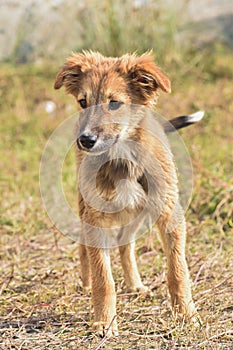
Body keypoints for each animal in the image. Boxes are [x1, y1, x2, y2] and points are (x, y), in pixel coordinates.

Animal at [54, 51, 200, 336]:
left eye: (114, 103)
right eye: (82, 102)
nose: (85, 140)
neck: (121, 158)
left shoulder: (169, 212)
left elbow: (177, 270)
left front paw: (186, 314)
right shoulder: (95, 218)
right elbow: (103, 278)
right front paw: (104, 321)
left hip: (138, 212)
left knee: (125, 242)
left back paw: (134, 285)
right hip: (86, 205)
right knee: (84, 246)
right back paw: (86, 281)